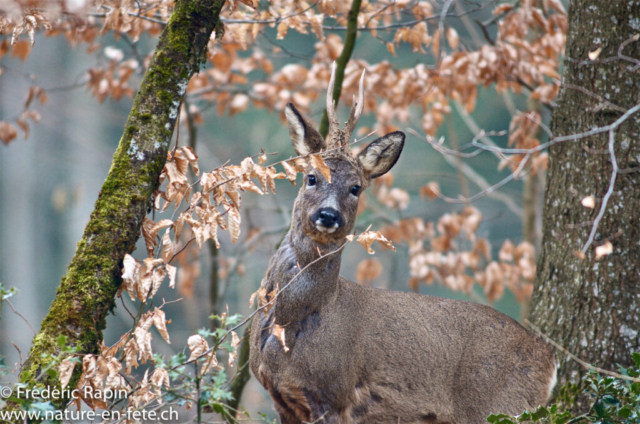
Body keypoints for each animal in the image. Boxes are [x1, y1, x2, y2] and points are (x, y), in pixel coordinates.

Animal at [250, 63, 556, 424]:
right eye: (311, 177)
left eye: (356, 187)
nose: (328, 214)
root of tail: (549, 359)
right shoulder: (283, 400)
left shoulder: (333, 395)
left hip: (501, 406)